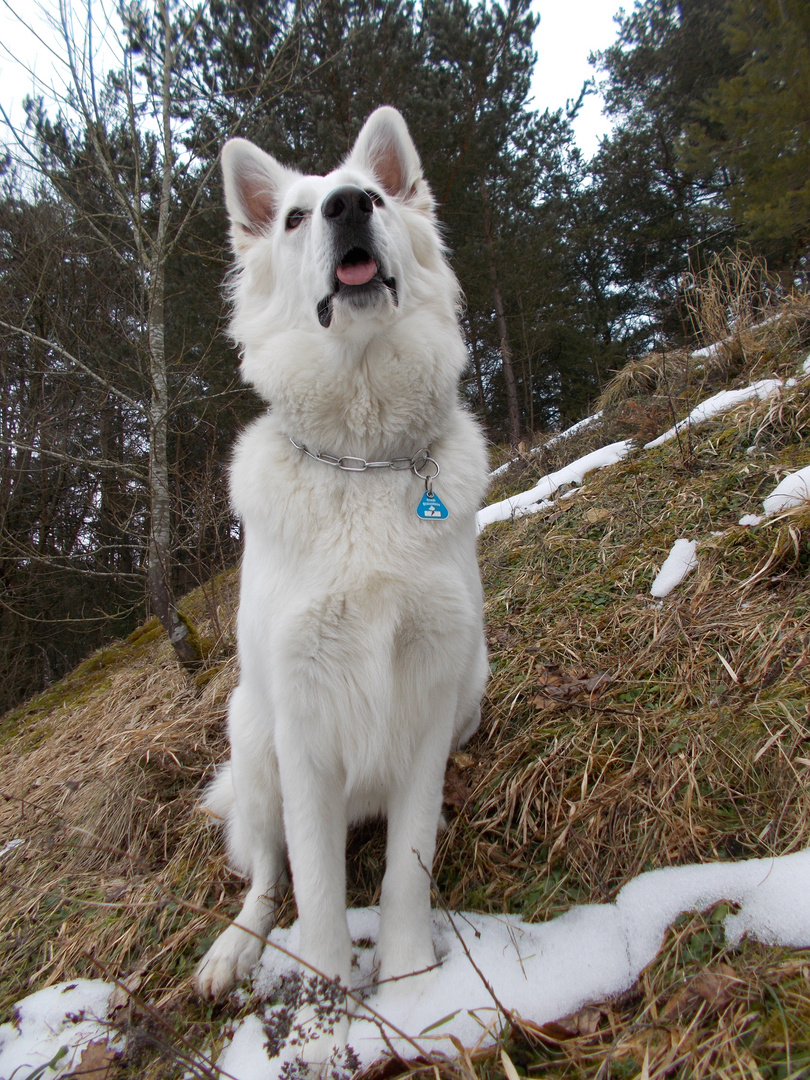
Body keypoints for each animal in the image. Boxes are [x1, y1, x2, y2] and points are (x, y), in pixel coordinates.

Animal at [196, 107, 488, 1062]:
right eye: (293, 216)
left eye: (378, 196)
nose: (349, 206)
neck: (360, 458)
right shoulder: (302, 717)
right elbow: (316, 881)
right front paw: (325, 1004)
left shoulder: (430, 699)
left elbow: (405, 866)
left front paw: (410, 980)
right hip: (250, 736)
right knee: (264, 876)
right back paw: (231, 951)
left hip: (473, 685)